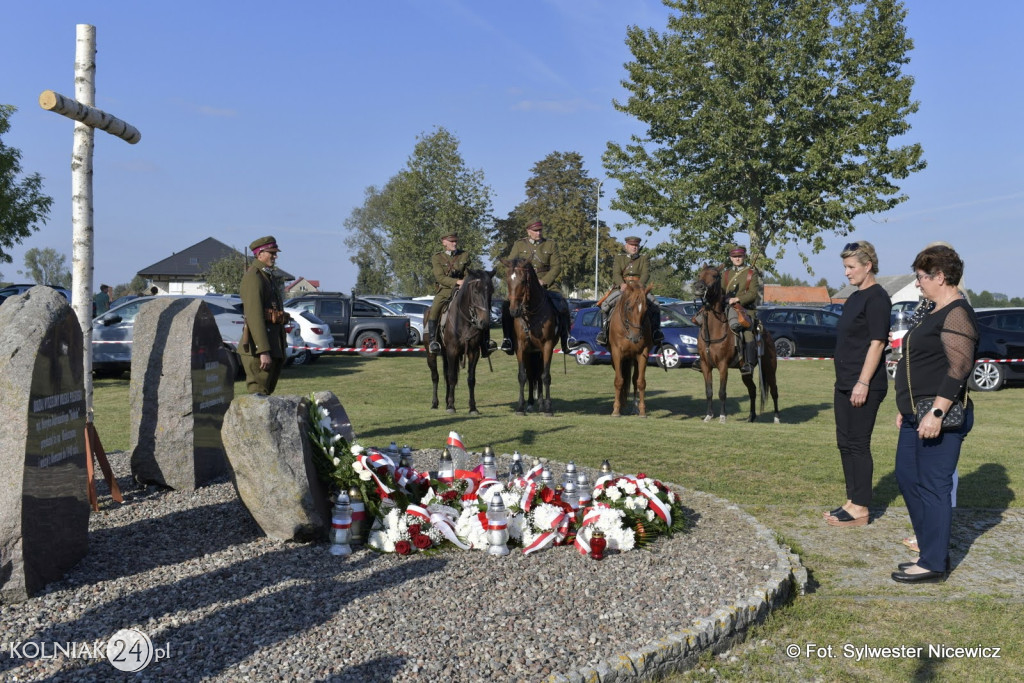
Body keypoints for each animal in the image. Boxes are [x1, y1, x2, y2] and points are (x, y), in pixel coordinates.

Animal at [425, 270, 493, 413]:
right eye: (475, 291)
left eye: (491, 291)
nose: (484, 323)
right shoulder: (452, 351)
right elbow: (452, 377)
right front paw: (451, 406)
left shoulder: (473, 352)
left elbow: (471, 379)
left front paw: (472, 407)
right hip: (431, 354)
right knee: (435, 376)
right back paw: (435, 403)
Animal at [499, 255, 557, 417]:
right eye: (508, 280)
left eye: (524, 281)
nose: (514, 311)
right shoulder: (521, 347)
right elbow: (522, 376)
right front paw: (520, 407)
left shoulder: (547, 346)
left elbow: (545, 376)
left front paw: (548, 408)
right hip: (531, 353)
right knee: (532, 376)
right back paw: (531, 403)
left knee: (539, 375)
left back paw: (542, 404)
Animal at [606, 282, 655, 417]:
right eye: (629, 308)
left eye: (645, 310)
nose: (636, 337)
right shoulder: (617, 354)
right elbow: (619, 381)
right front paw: (616, 410)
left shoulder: (643, 353)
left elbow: (640, 382)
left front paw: (642, 411)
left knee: (633, 380)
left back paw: (634, 407)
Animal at [692, 264, 778, 423]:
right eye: (700, 274)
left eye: (715, 276)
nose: (699, 287)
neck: (713, 330)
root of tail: (767, 335)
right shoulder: (705, 366)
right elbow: (709, 391)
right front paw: (708, 415)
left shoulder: (723, 366)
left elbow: (722, 392)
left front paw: (722, 417)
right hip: (746, 373)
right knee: (752, 390)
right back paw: (751, 417)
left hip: (769, 369)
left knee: (774, 390)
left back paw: (776, 417)